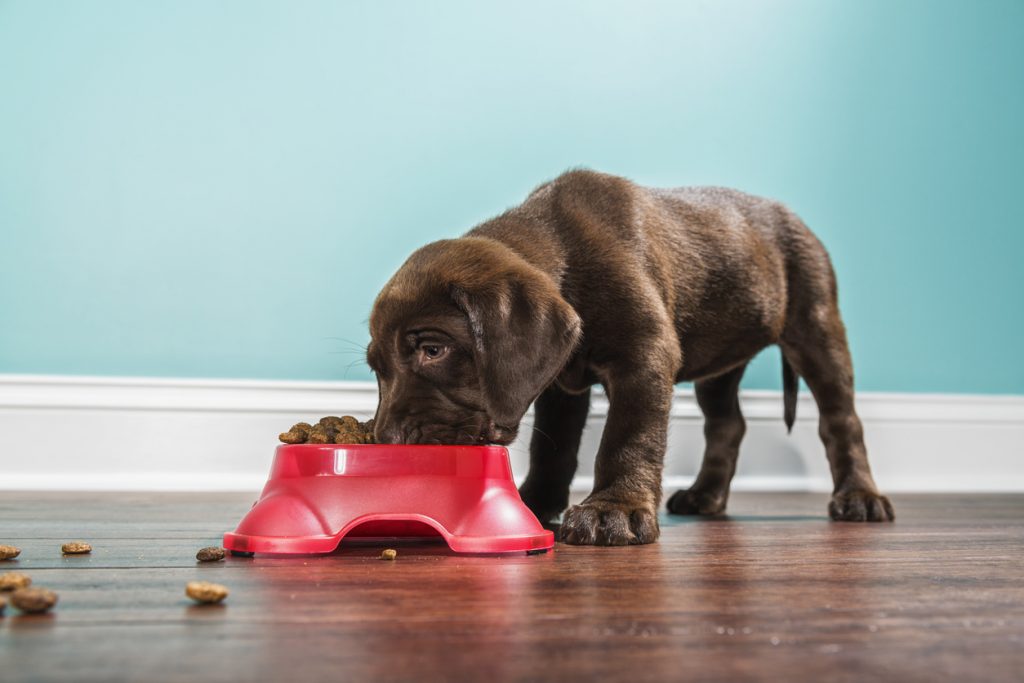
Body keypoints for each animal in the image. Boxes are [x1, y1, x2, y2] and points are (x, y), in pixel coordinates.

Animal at [364, 167, 892, 548]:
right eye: (376, 369)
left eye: (433, 349)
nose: (385, 440)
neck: (565, 254)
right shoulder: (559, 382)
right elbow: (553, 449)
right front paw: (536, 501)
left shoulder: (645, 356)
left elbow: (628, 435)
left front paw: (612, 510)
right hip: (720, 364)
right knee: (727, 424)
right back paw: (705, 495)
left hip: (816, 325)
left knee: (841, 420)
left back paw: (860, 497)